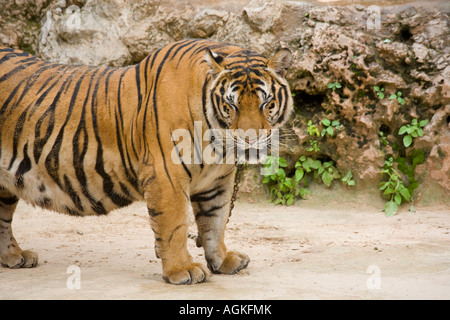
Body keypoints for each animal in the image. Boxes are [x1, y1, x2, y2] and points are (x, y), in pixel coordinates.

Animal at [0, 38, 294, 284]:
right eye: (231, 105)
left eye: (266, 103)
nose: (250, 140)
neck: (217, 144)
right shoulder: (166, 174)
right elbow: (175, 225)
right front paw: (182, 270)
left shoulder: (217, 181)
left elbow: (215, 221)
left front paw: (222, 260)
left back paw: (14, 257)